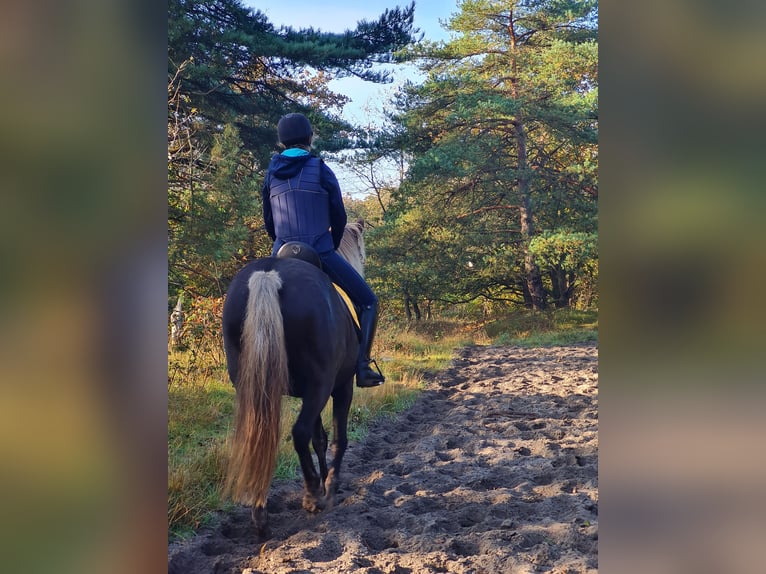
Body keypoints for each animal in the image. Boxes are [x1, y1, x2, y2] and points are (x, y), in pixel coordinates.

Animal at [221, 220, 367, 538]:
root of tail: (268, 275)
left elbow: (319, 438)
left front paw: (324, 479)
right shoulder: (340, 387)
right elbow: (336, 438)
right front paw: (329, 486)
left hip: (258, 387)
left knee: (260, 435)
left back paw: (261, 513)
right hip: (321, 386)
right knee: (298, 433)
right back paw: (312, 494)